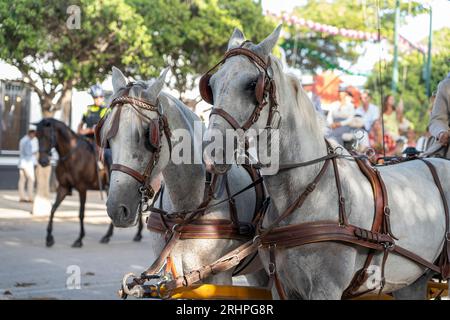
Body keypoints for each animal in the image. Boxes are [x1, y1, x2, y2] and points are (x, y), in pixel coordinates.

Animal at [35, 118, 143, 248]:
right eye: (37, 136)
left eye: (47, 136)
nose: (43, 161)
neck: (72, 155)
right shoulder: (63, 187)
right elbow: (53, 209)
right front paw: (49, 238)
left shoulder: (82, 188)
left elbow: (81, 214)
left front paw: (79, 239)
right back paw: (112, 235)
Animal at [204, 26, 450, 298]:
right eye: (211, 85)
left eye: (251, 85)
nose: (210, 152)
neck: (306, 190)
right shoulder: (282, 286)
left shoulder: (326, 289)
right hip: (412, 281)